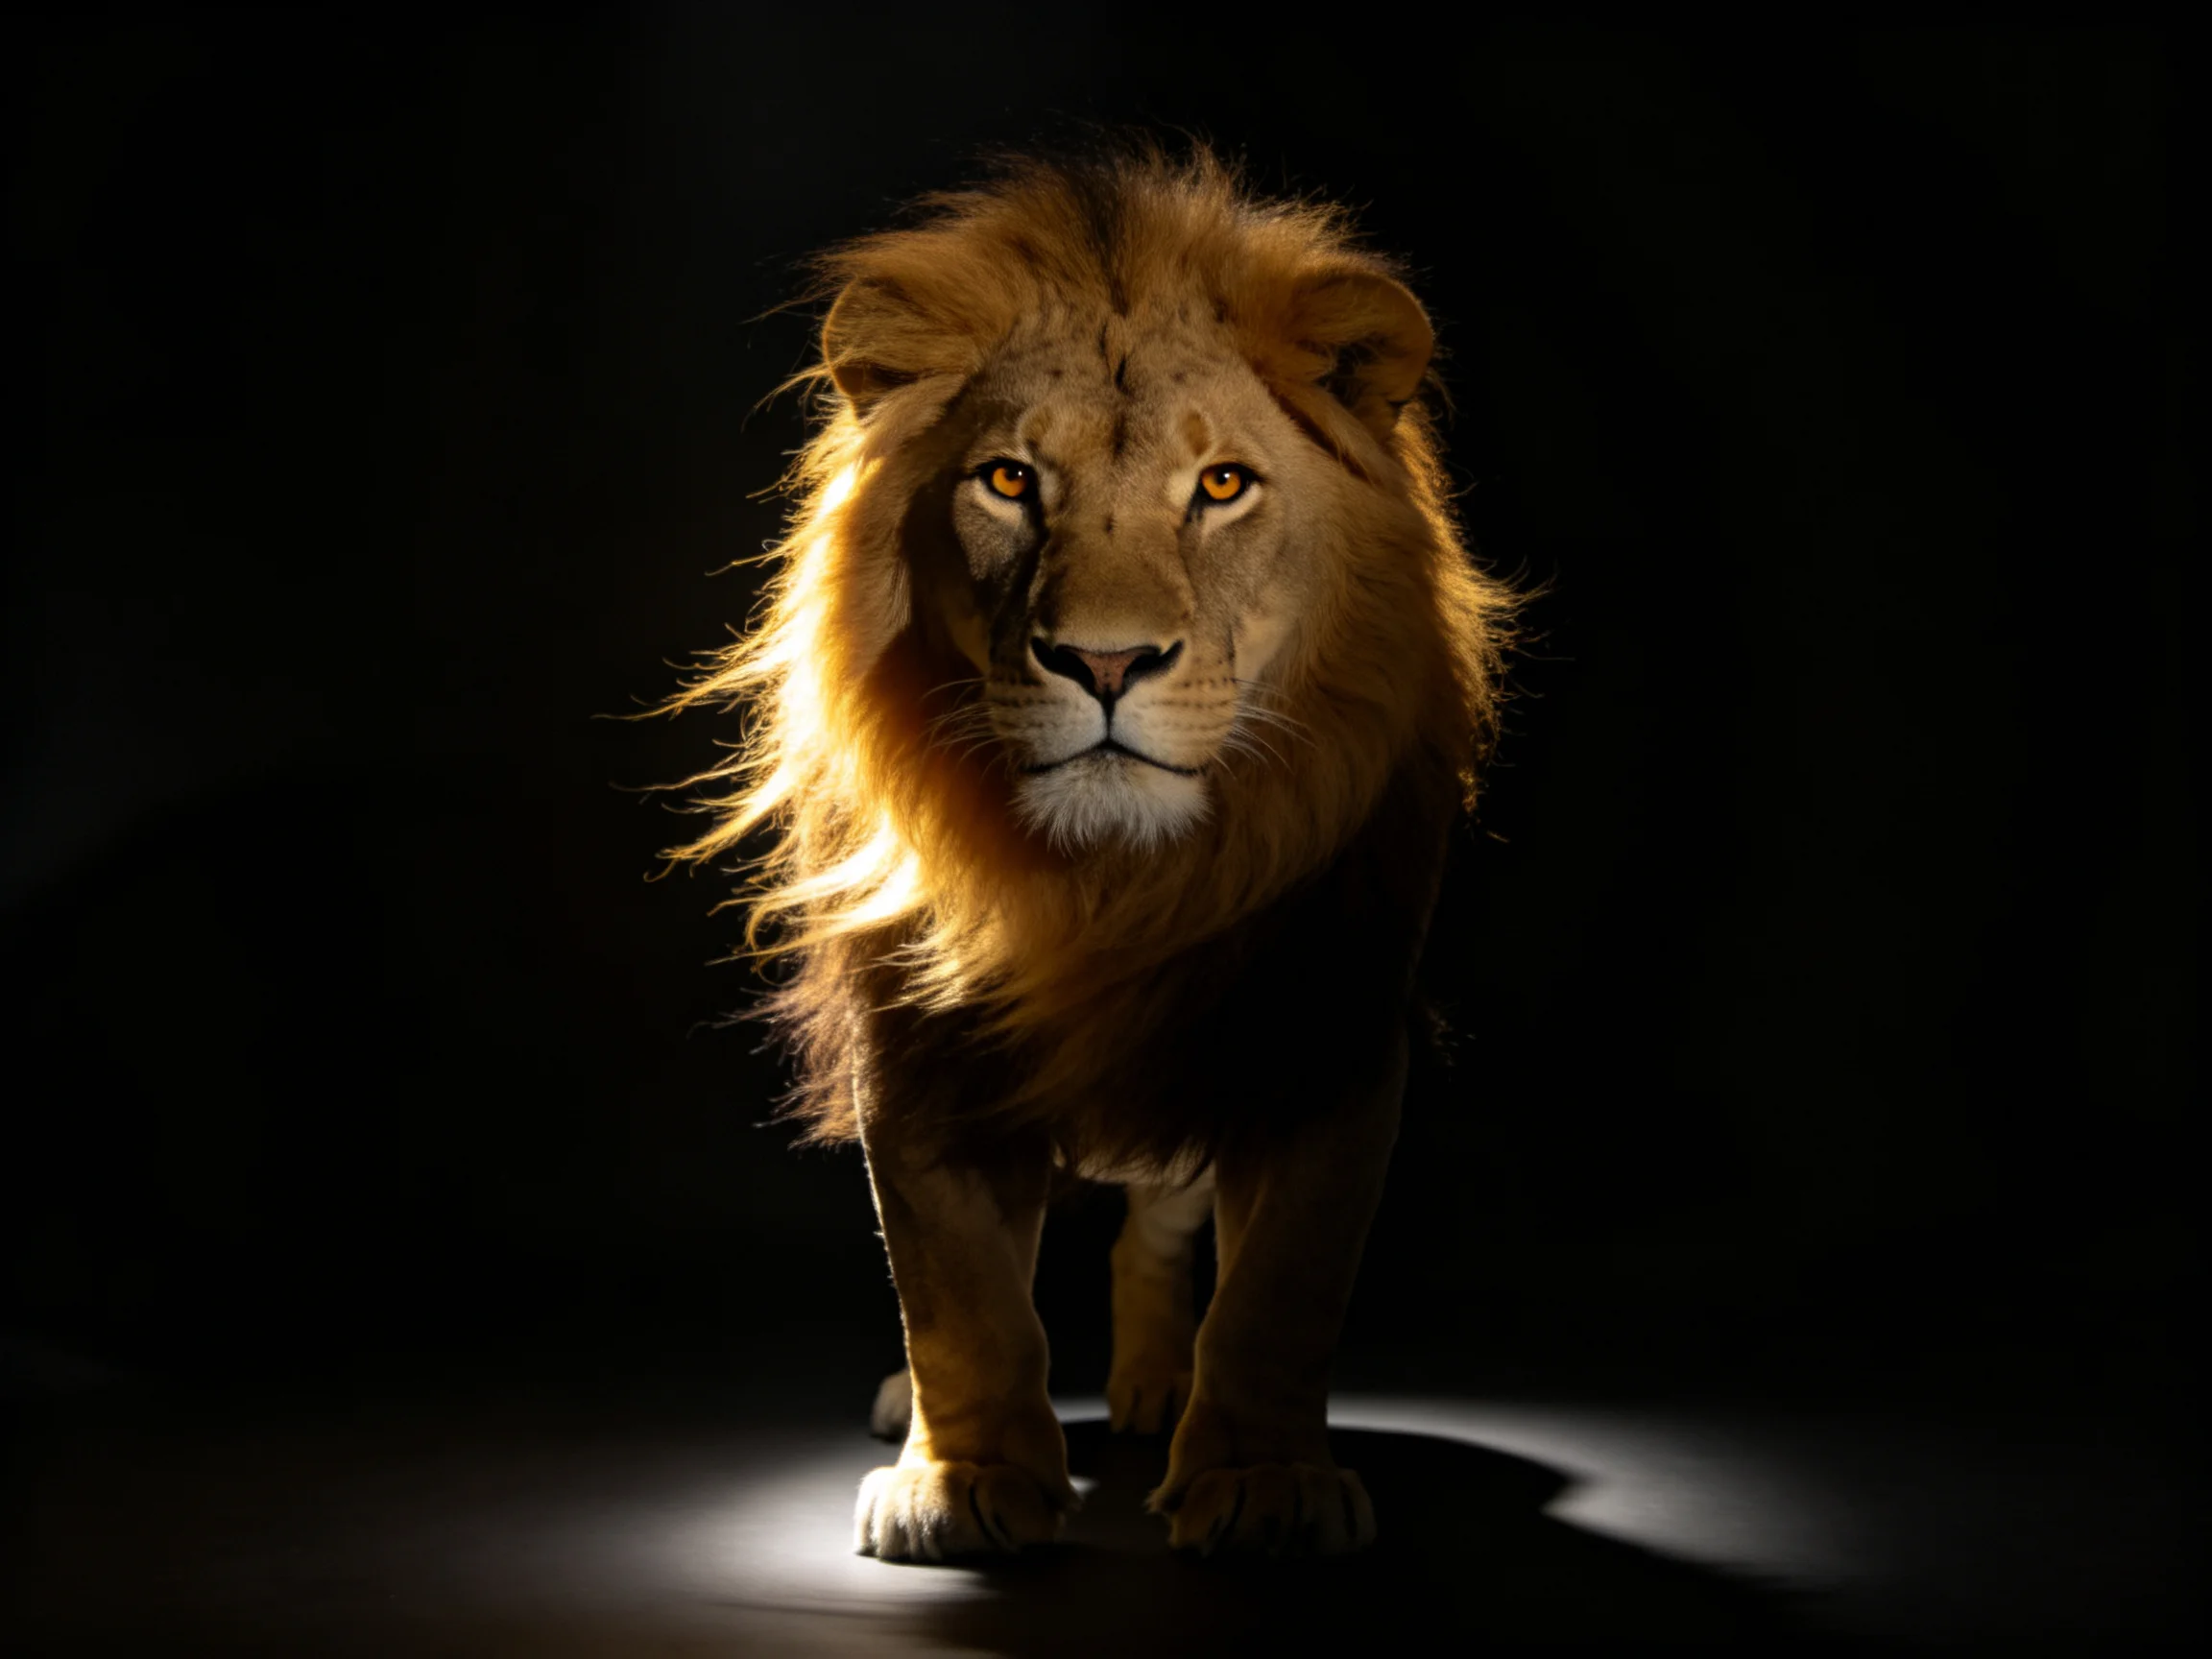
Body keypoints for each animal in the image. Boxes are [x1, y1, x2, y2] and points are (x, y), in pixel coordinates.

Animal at [658, 146, 1513, 1560]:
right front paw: (966, 1482)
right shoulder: (914, 1048)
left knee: (1156, 1233)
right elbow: (957, 1291)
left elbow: (1283, 1287)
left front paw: (1262, 1481)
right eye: (1009, 482)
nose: (1105, 665)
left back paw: (1159, 1389)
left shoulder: (1327, 1028)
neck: (1111, 879)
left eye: (1221, 486)